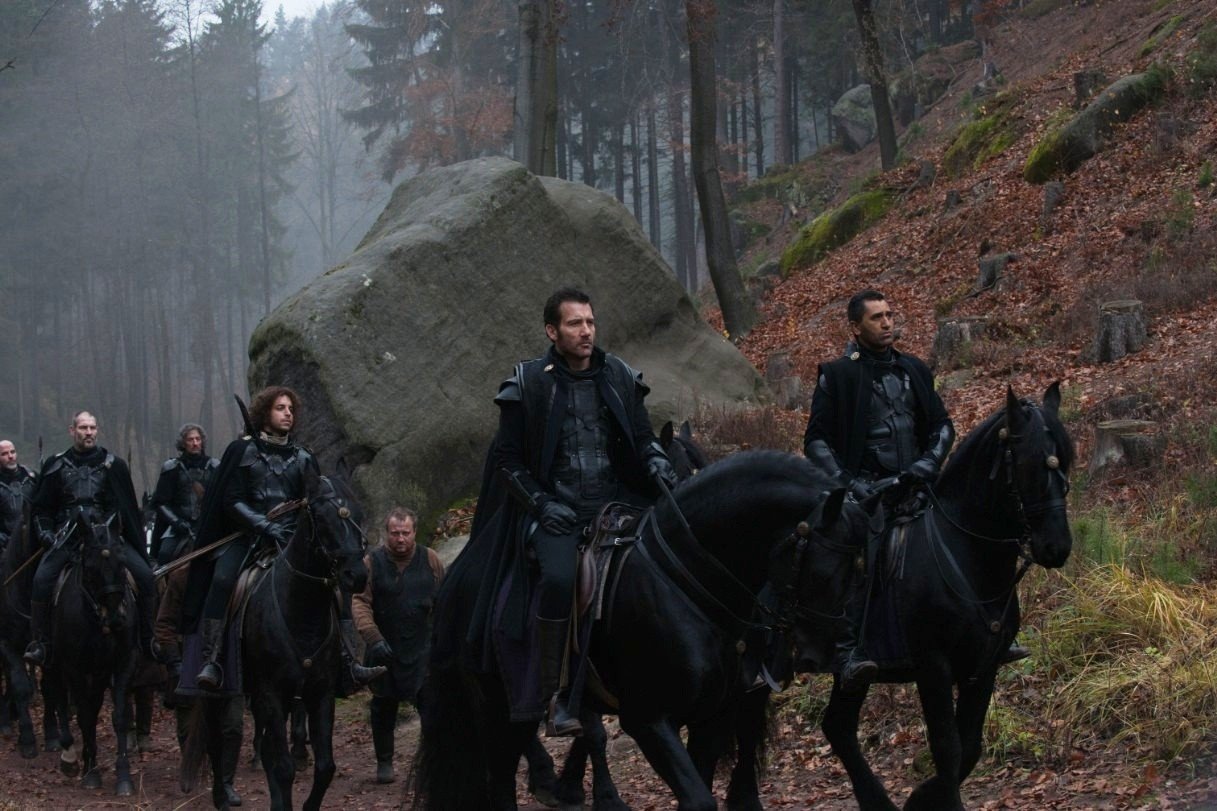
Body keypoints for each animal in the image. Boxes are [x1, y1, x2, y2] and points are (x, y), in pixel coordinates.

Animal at [48, 518, 141, 789]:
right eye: (89, 568)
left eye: (123, 562)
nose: (117, 619)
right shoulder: (74, 668)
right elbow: (85, 716)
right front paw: (91, 774)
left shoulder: (123, 662)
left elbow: (118, 716)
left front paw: (123, 775)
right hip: (56, 664)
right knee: (59, 697)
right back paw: (70, 755)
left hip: (98, 672)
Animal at [187, 470, 367, 803]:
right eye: (322, 518)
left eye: (357, 513)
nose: (357, 575)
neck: (301, 612)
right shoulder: (271, 693)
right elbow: (282, 768)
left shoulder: (320, 693)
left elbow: (325, 767)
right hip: (220, 693)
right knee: (217, 742)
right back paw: (222, 796)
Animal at [413, 448, 871, 808]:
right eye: (824, 571)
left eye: (859, 568)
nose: (825, 652)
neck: (686, 580)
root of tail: (459, 577)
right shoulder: (649, 721)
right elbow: (698, 797)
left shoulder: (712, 716)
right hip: (496, 707)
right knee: (501, 781)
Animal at [817, 379, 1075, 808]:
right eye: (1027, 463)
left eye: (1065, 463)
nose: (1056, 547)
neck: (965, 552)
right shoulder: (932, 666)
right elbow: (947, 748)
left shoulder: (984, 665)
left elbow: (969, 747)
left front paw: (920, 798)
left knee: (837, 726)